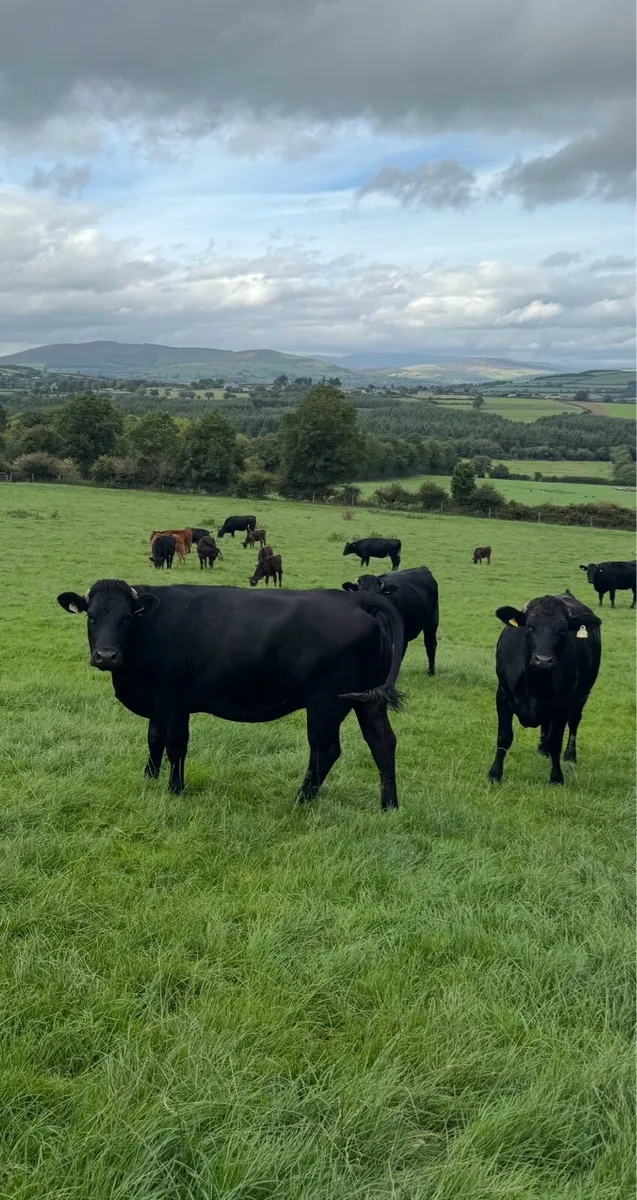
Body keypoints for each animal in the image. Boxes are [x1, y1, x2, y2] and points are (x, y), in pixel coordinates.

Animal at [57, 579, 405, 809]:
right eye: (92, 617)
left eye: (126, 618)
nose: (106, 656)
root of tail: (354, 600)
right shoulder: (158, 702)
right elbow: (154, 739)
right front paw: (149, 779)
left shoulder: (175, 700)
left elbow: (176, 744)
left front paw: (175, 790)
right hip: (367, 702)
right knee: (382, 742)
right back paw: (389, 805)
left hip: (326, 702)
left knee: (325, 750)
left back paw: (300, 801)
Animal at [487, 592, 601, 786]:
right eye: (531, 627)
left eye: (562, 630)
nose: (543, 660)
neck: (535, 684)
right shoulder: (502, 696)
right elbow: (504, 737)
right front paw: (495, 774)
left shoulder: (562, 703)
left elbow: (555, 741)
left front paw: (556, 777)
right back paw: (543, 749)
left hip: (582, 694)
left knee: (574, 722)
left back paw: (570, 755)